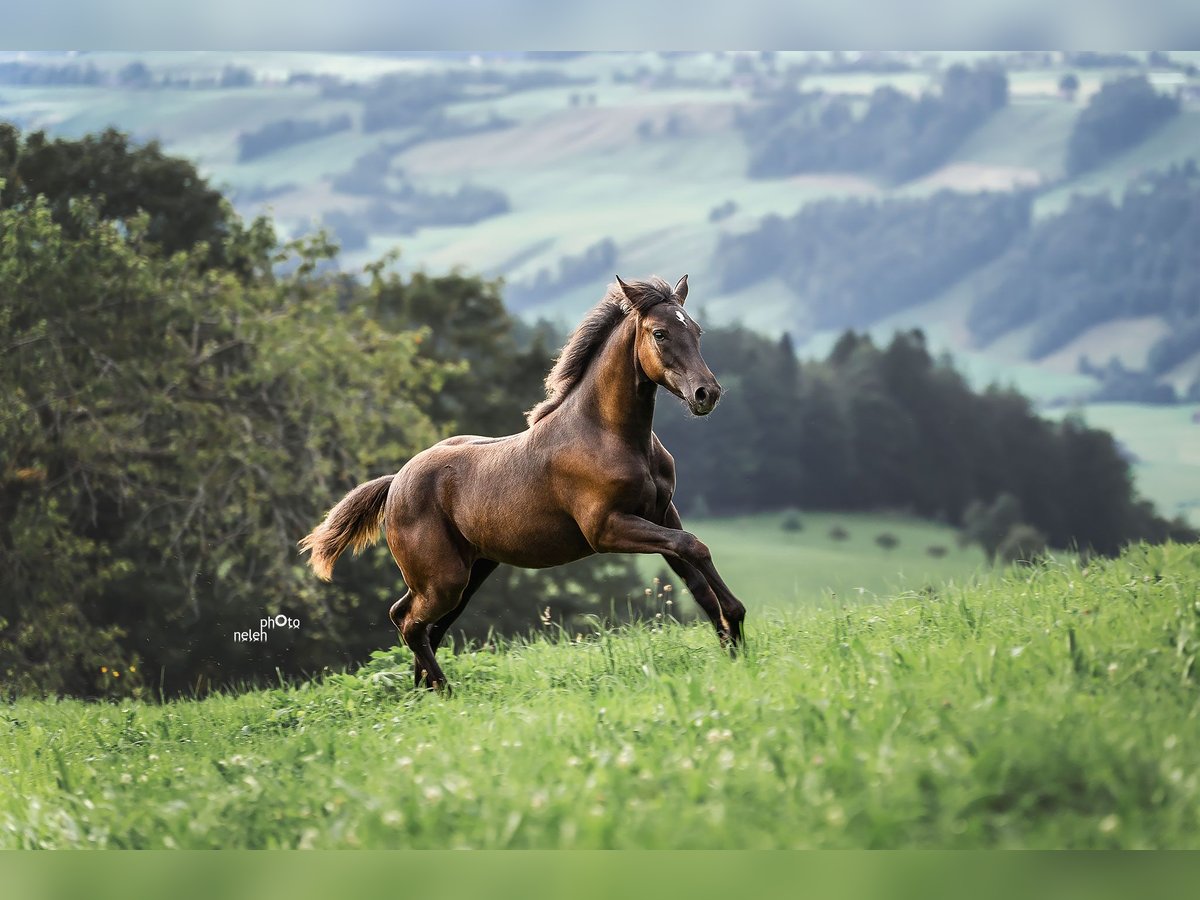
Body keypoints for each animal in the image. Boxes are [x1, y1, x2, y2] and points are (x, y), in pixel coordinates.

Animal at [298, 273, 744, 691]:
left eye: (697, 330)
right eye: (660, 333)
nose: (707, 393)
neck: (609, 435)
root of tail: (396, 483)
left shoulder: (662, 513)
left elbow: (694, 569)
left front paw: (733, 644)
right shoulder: (607, 528)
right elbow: (694, 547)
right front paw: (736, 629)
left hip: (466, 573)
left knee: (420, 623)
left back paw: (422, 692)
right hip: (444, 579)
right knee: (409, 621)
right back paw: (444, 693)